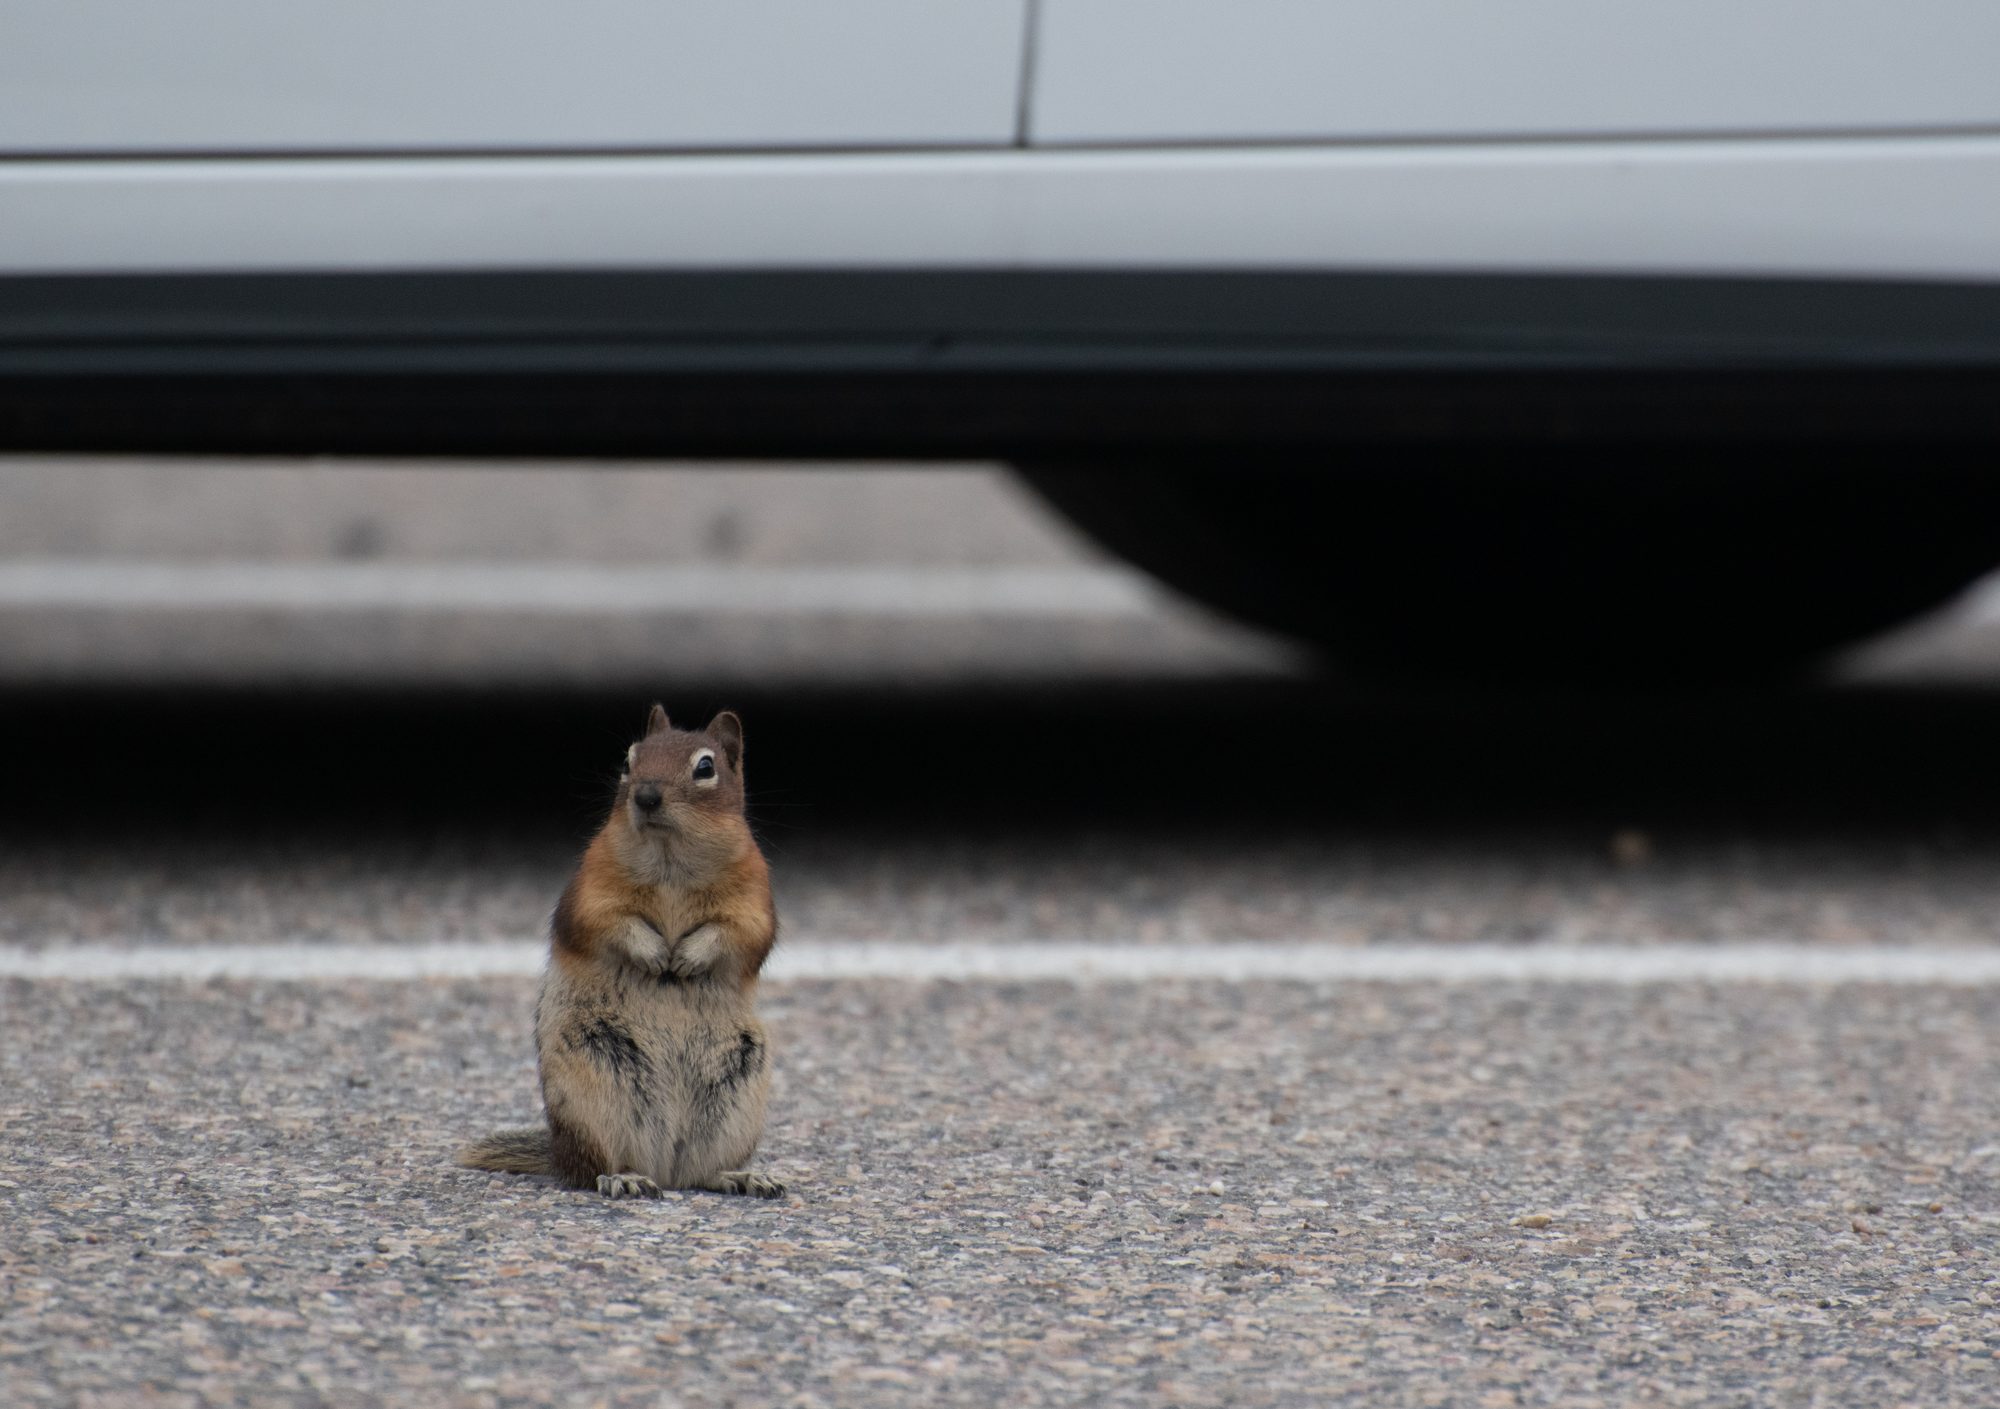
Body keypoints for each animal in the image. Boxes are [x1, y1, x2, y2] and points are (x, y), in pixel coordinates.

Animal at [459, 703, 785, 1199]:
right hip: (595, 1096)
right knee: (596, 1168)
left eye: (705, 768)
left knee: (701, 1173)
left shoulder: (754, 896)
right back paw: (623, 1178)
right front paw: (654, 954)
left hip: (739, 1094)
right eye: (629, 761)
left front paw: (687, 956)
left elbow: (739, 934)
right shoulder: (590, 886)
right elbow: (608, 922)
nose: (646, 796)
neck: (670, 858)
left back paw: (741, 1175)